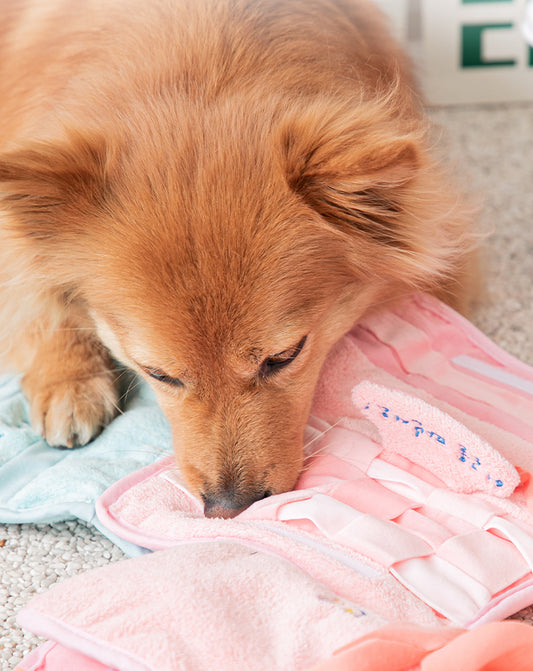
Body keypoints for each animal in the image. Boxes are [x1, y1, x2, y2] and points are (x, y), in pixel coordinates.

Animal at [0, 0, 474, 520]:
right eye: (159, 374)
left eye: (284, 356)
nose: (229, 506)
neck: (201, 64)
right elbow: (34, 300)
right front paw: (68, 381)